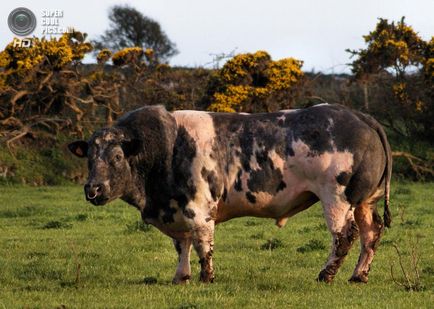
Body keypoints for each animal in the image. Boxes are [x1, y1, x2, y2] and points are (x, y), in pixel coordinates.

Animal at [68, 104, 394, 284]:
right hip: (365, 201)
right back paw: (358, 275)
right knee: (371, 233)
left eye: (117, 157)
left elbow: (203, 244)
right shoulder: (177, 210)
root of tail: (360, 116)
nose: (93, 188)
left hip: (337, 199)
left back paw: (326, 274)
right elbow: (182, 245)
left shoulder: (198, 209)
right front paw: (181, 277)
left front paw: (206, 277)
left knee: (344, 236)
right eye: (89, 158)